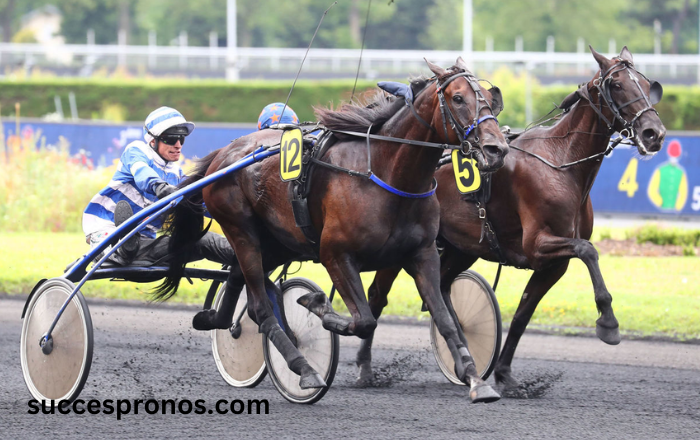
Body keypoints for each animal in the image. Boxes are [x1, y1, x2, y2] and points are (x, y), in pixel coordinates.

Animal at [157, 57, 508, 402]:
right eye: (458, 98)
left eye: (489, 98)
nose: (497, 149)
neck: (386, 175)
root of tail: (224, 154)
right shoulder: (335, 254)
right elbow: (364, 320)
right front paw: (316, 304)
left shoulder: (422, 254)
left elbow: (445, 319)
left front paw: (475, 379)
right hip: (241, 230)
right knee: (260, 306)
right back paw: (304, 369)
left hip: (278, 241)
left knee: (238, 278)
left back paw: (215, 319)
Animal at [360, 47, 668, 392]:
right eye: (616, 84)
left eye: (647, 84)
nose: (654, 133)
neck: (560, 162)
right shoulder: (537, 244)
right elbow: (588, 251)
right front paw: (608, 323)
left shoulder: (553, 264)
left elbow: (523, 313)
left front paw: (505, 374)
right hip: (404, 245)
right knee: (378, 295)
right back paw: (365, 368)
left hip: (461, 247)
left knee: (442, 286)